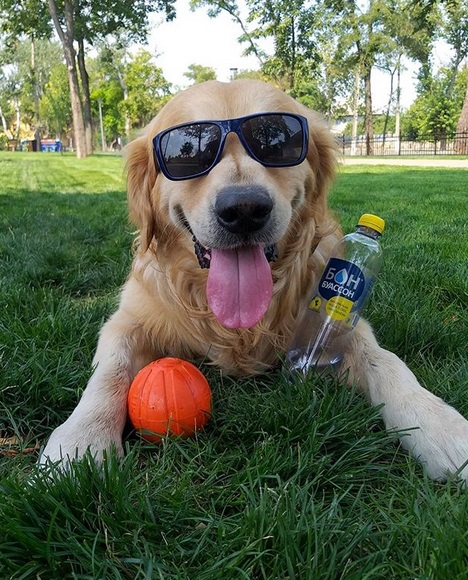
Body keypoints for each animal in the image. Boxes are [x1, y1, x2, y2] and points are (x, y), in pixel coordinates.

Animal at [41, 80, 468, 480]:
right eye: (188, 150)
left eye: (278, 142)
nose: (244, 209)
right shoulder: (127, 321)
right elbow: (108, 373)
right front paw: (80, 442)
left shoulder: (331, 322)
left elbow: (386, 360)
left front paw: (441, 426)